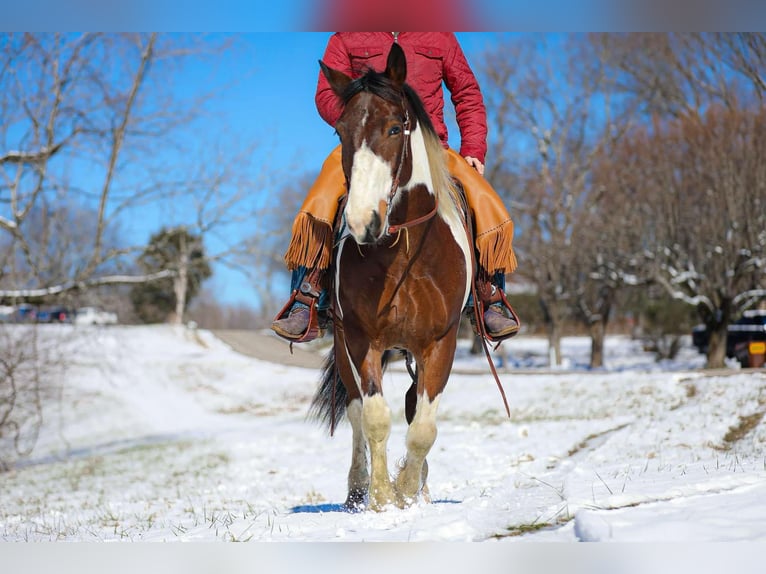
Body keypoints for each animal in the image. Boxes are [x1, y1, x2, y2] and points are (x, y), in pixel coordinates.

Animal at [310, 44, 474, 512]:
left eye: (395, 127)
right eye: (340, 131)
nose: (362, 221)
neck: (402, 254)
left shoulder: (441, 342)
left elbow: (423, 426)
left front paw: (409, 490)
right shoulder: (360, 339)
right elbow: (375, 417)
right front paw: (383, 497)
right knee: (354, 411)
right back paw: (357, 489)